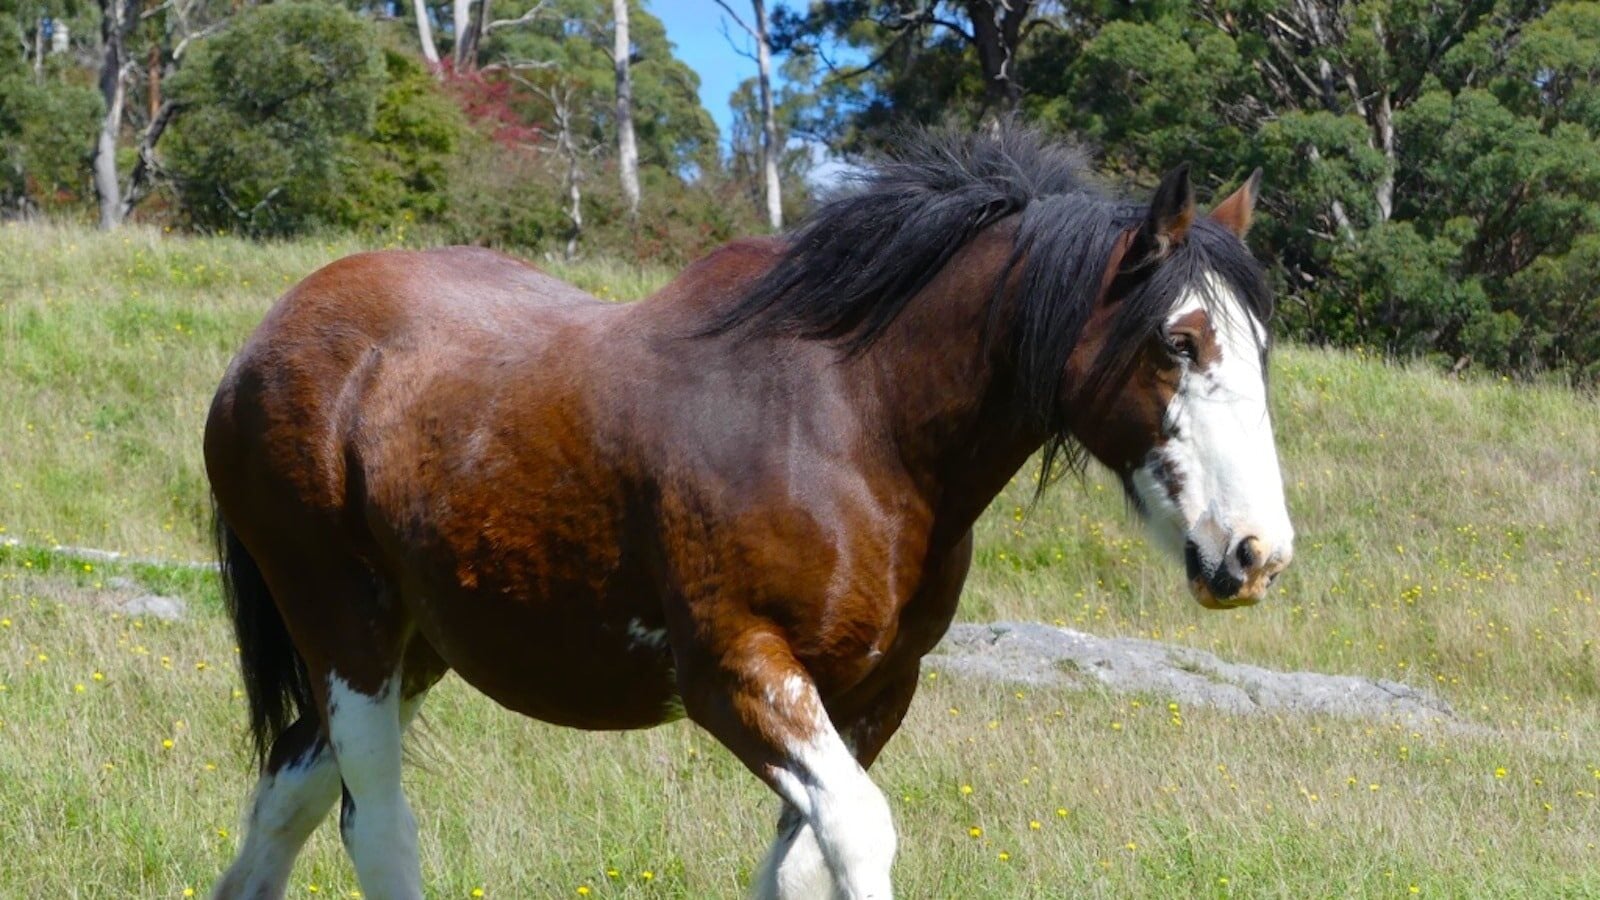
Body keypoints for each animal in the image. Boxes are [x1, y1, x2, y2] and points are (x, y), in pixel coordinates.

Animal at [204, 127, 1294, 899]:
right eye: (1179, 341)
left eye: (1258, 344)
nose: (1257, 554)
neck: (848, 420)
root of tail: (264, 343)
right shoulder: (737, 672)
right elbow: (858, 832)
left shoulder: (871, 692)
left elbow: (802, 864)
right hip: (344, 628)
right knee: (377, 823)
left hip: (415, 646)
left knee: (291, 791)